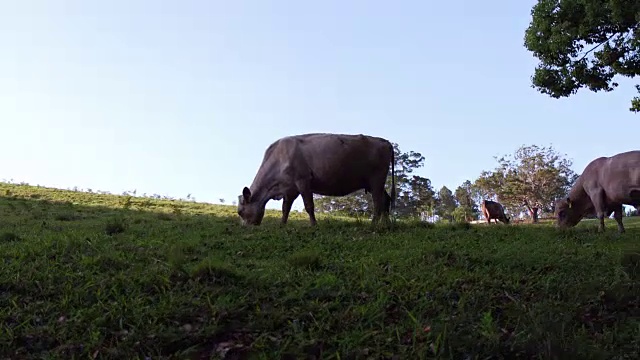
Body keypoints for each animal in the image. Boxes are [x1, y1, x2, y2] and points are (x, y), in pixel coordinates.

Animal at [235, 134, 396, 226]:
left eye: (240, 212)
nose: (245, 227)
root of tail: (385, 141)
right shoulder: (290, 188)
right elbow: (285, 208)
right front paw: (282, 224)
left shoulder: (303, 180)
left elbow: (309, 206)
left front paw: (313, 225)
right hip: (375, 182)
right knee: (386, 200)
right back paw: (386, 223)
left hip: (376, 179)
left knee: (378, 202)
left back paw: (374, 224)